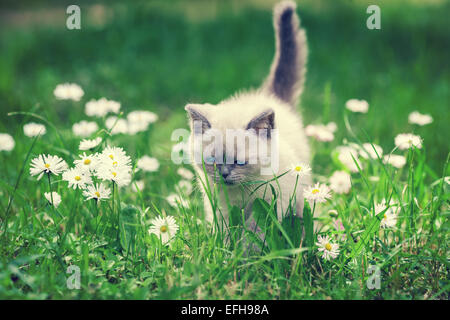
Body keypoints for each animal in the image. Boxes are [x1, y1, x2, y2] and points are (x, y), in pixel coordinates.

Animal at [185, 0, 312, 240]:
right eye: (213, 160)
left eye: (240, 162)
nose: (225, 174)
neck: (240, 195)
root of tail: (269, 96)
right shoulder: (221, 209)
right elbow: (226, 231)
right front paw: (225, 248)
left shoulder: (272, 203)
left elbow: (255, 233)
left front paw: (249, 249)